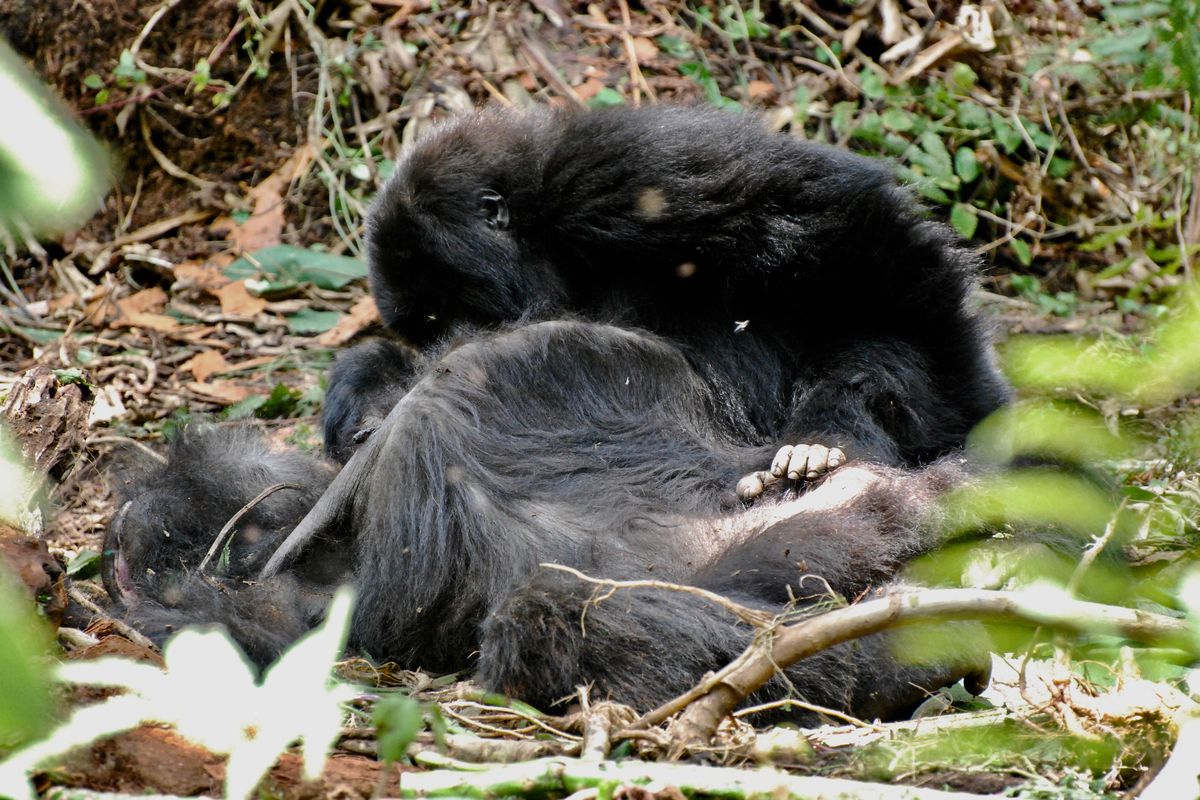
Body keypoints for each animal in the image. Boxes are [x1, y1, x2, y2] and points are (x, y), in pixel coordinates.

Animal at [108, 104, 1017, 719]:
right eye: (426, 322)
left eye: (455, 308)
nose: (444, 344)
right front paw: (367, 393)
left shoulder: (619, 172)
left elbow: (858, 230)